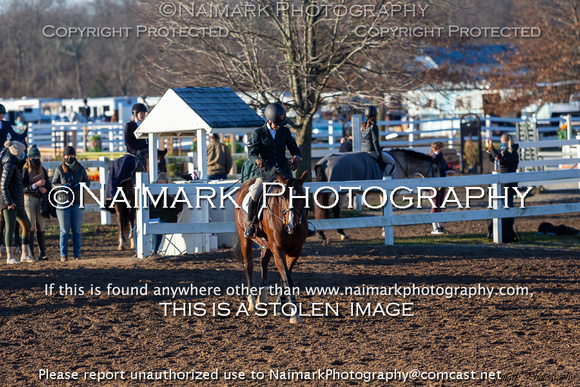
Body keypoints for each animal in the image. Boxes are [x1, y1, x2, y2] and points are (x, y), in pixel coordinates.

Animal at [233, 171, 310, 326]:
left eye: (301, 196)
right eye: (283, 196)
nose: (292, 226)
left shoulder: (296, 251)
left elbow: (284, 278)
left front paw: (283, 306)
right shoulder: (278, 249)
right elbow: (287, 279)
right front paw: (294, 314)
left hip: (267, 244)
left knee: (263, 261)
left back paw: (261, 297)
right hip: (245, 238)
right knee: (248, 266)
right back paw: (252, 301)